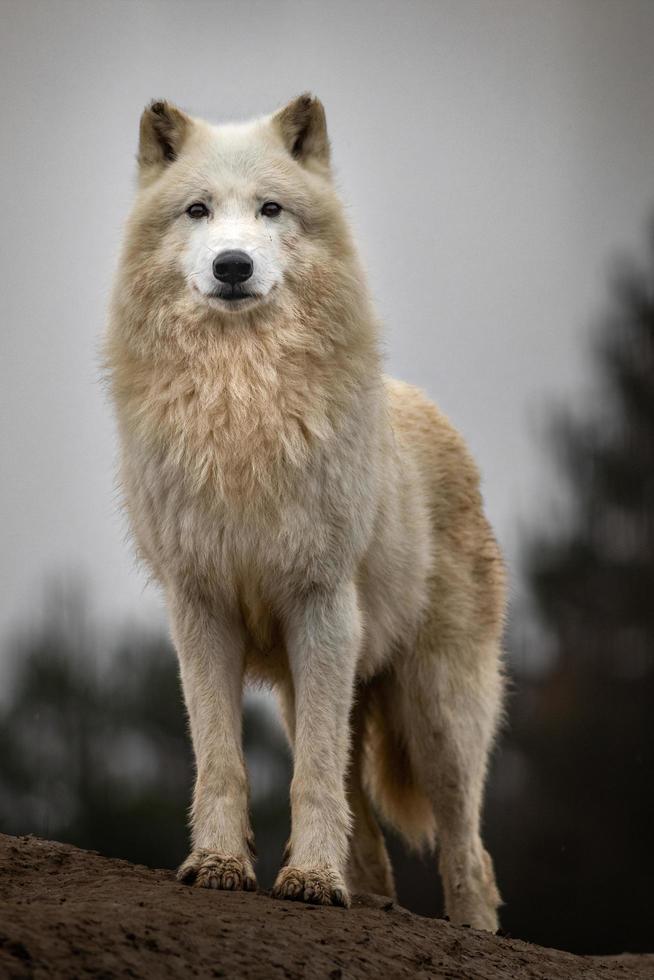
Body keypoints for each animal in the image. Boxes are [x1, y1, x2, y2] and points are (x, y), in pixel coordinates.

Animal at [106, 95, 508, 932]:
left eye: (270, 209)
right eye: (198, 210)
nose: (233, 265)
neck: (242, 402)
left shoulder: (321, 605)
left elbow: (313, 776)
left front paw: (313, 879)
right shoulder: (201, 608)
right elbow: (222, 760)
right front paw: (220, 866)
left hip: (435, 712)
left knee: (468, 849)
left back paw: (471, 930)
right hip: (317, 688)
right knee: (373, 832)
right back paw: (371, 900)